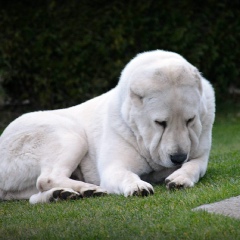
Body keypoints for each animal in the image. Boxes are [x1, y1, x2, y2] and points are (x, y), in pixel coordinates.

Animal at [0, 50, 215, 202]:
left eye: (190, 120)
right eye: (160, 123)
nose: (178, 157)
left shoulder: (199, 155)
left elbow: (195, 166)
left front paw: (180, 177)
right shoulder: (114, 167)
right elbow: (125, 174)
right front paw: (138, 186)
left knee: (34, 194)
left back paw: (60, 195)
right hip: (70, 135)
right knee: (46, 178)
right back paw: (89, 189)